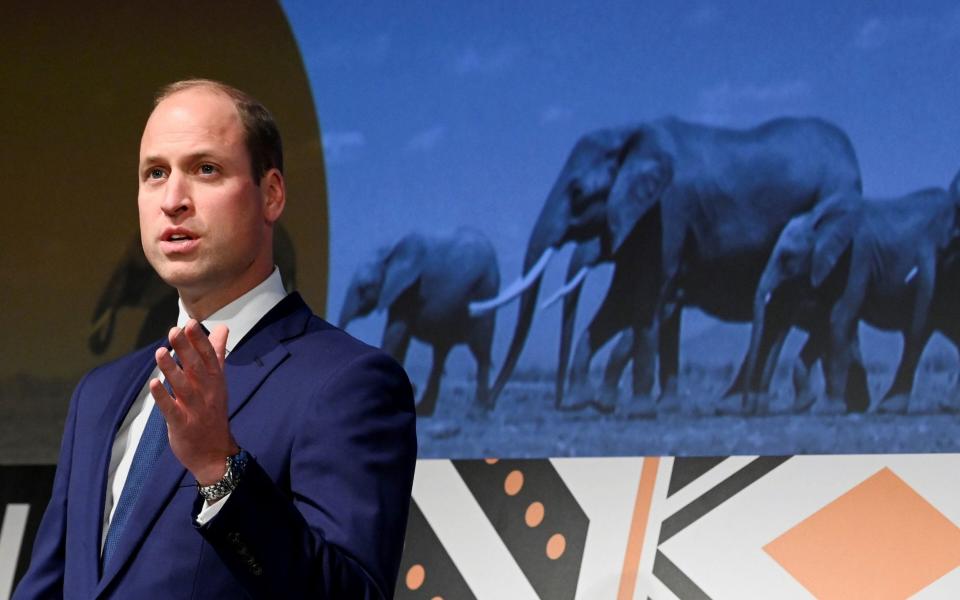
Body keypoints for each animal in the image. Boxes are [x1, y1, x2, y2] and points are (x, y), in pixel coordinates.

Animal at [340, 226, 502, 418]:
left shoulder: (409, 289)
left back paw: (477, 412)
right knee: (440, 354)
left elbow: (396, 332)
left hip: (485, 291)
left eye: (364, 288)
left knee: (480, 351)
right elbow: (401, 336)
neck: (390, 251)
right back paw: (425, 410)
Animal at [748, 178, 960, 412]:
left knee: (920, 331)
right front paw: (804, 405)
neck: (817, 219)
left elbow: (839, 318)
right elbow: (823, 323)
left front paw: (829, 410)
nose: (750, 407)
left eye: (786, 257)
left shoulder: (858, 255)